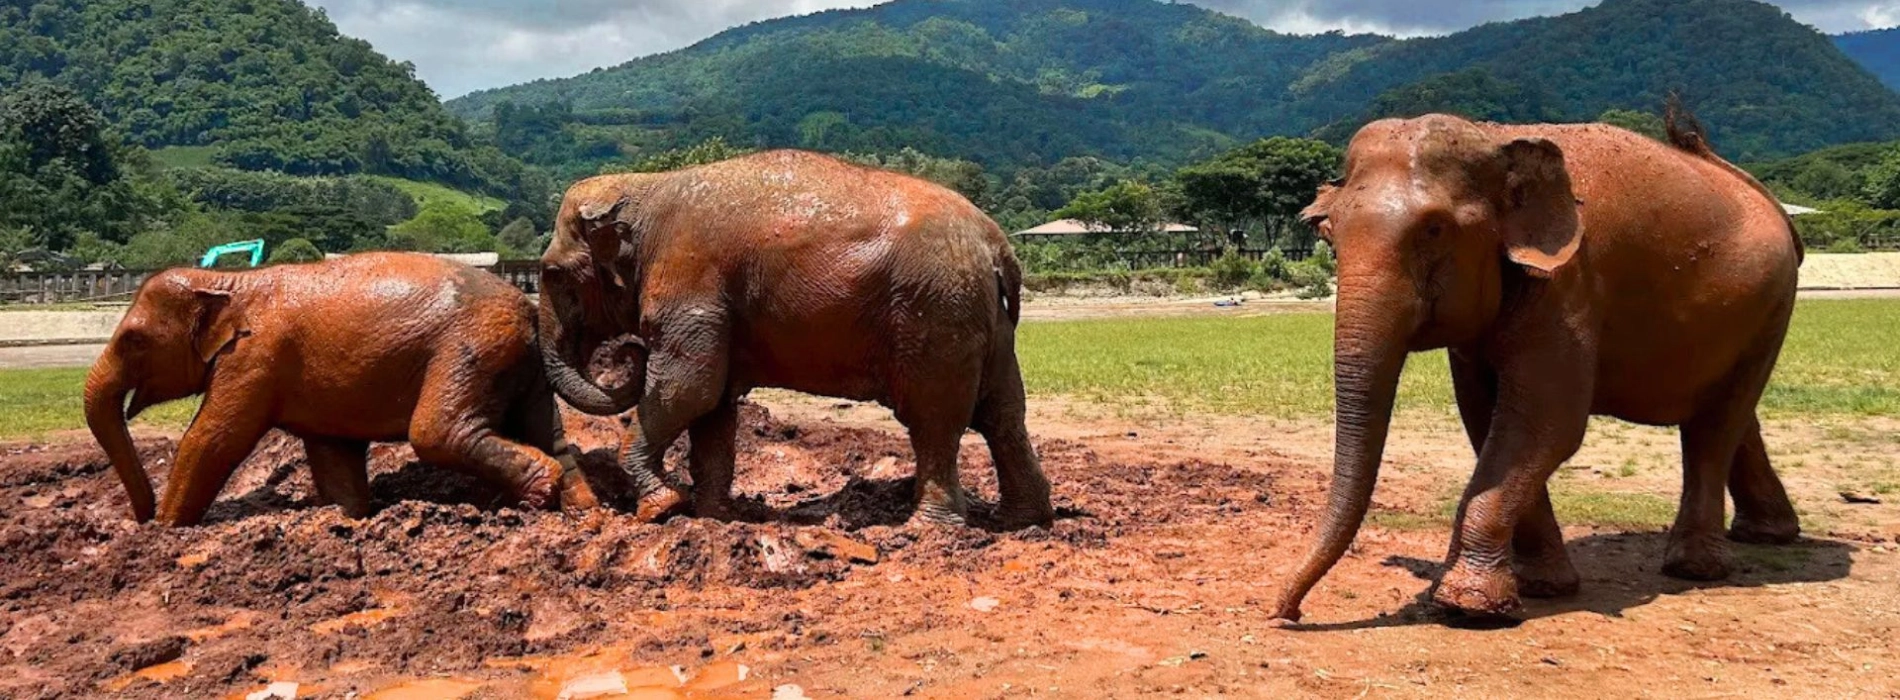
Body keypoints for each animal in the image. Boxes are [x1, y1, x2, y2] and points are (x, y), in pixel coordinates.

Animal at [85, 252, 599, 526]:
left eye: (133, 340)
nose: (142, 515)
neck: (230, 282)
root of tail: (530, 309)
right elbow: (333, 457)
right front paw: (346, 520)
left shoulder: (253, 361)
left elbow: (212, 440)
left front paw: (166, 532)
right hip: (520, 367)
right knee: (547, 433)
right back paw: (582, 516)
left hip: (469, 350)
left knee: (438, 433)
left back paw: (536, 499)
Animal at [537, 150, 1054, 528]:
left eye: (552, 274)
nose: (628, 350)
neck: (646, 185)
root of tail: (996, 243)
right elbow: (712, 407)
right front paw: (714, 519)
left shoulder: (691, 284)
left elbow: (689, 388)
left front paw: (660, 508)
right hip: (983, 320)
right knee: (1003, 415)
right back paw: (1023, 522)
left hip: (937, 312)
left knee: (934, 420)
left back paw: (929, 529)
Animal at [1271, 106, 1803, 620]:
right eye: (1329, 234)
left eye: (1435, 229)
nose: (1286, 612)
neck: (1496, 139)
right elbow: (1486, 418)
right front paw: (1541, 587)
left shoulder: (1569, 285)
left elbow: (1546, 423)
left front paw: (1467, 605)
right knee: (1733, 416)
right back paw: (1768, 534)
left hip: (1773, 305)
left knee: (1716, 425)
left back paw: (1695, 567)